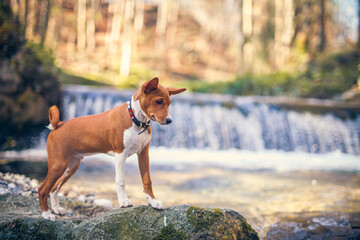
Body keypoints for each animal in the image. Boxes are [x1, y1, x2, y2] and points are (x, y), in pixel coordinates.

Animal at [38, 78, 187, 219]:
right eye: (159, 101)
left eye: (169, 103)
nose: (169, 120)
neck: (135, 120)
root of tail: (58, 125)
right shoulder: (120, 154)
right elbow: (121, 181)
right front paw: (124, 202)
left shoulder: (143, 154)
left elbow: (147, 181)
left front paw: (153, 202)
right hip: (59, 165)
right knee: (43, 189)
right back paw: (46, 214)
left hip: (71, 166)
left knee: (54, 188)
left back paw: (56, 209)